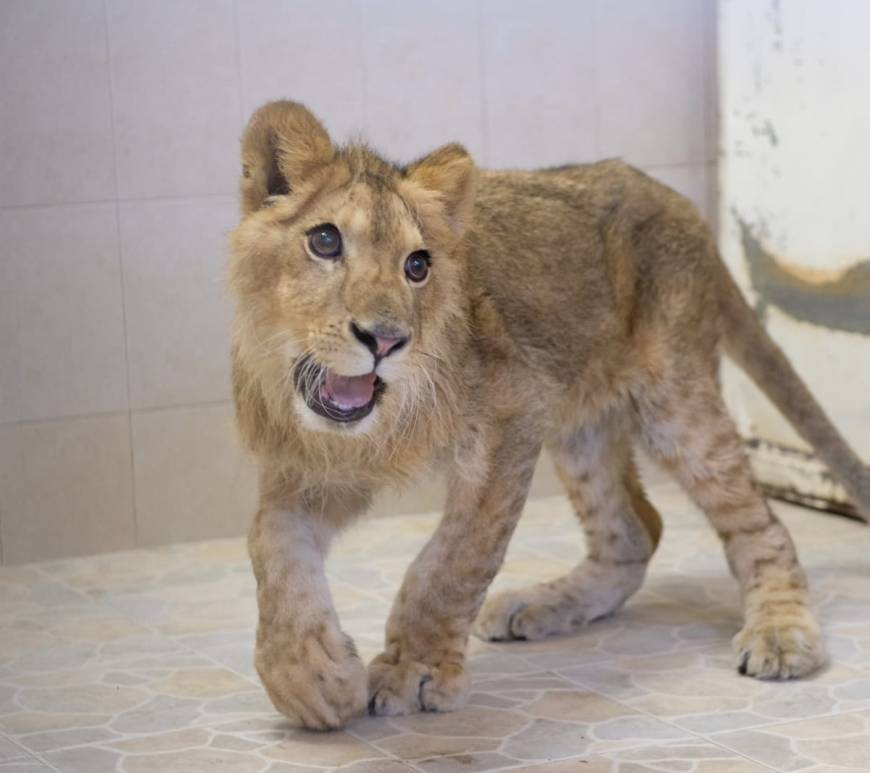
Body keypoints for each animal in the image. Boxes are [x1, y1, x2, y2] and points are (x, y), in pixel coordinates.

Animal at [228, 100, 870, 730]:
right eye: (325, 241)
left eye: (417, 265)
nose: (385, 340)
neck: (369, 426)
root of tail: (680, 205)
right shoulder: (315, 465)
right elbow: (270, 542)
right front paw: (308, 676)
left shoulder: (513, 415)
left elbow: (452, 562)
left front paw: (416, 670)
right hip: (581, 425)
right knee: (634, 531)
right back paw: (539, 605)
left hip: (675, 401)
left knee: (760, 524)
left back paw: (782, 634)